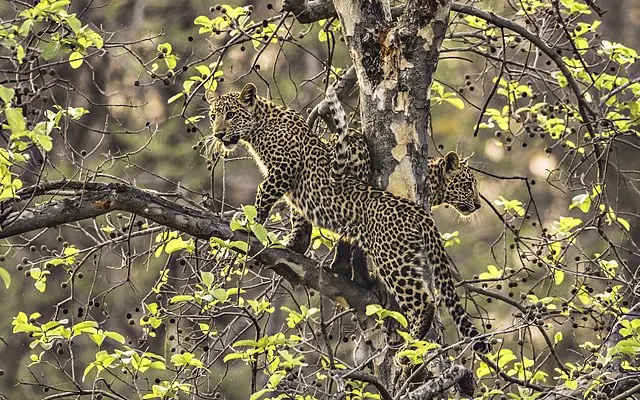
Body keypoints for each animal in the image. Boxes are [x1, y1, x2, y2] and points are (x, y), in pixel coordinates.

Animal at [204, 83, 491, 354]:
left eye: (231, 115)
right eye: (214, 116)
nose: (218, 134)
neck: (260, 126)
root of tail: (417, 211)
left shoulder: (283, 170)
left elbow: (264, 196)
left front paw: (249, 223)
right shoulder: (292, 182)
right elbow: (299, 215)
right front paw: (296, 244)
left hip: (393, 259)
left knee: (423, 301)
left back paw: (410, 344)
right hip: (406, 257)